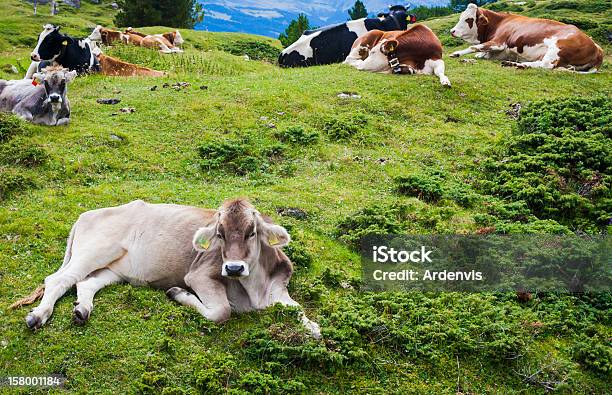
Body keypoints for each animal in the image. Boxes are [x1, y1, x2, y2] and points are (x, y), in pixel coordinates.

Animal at [11, 200, 322, 338]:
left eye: (252, 232)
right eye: (219, 234)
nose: (233, 268)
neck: (256, 291)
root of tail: (88, 213)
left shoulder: (279, 289)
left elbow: (304, 317)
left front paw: (313, 327)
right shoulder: (198, 274)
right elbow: (222, 311)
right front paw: (178, 294)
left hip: (114, 269)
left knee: (85, 283)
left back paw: (82, 311)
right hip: (94, 250)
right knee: (59, 279)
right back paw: (38, 315)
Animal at [450, 2, 604, 72]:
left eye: (468, 19)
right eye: (461, 16)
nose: (452, 31)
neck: (499, 22)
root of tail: (597, 48)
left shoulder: (499, 42)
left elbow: (474, 47)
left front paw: (456, 53)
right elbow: (481, 53)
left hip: (557, 48)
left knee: (546, 65)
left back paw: (517, 64)